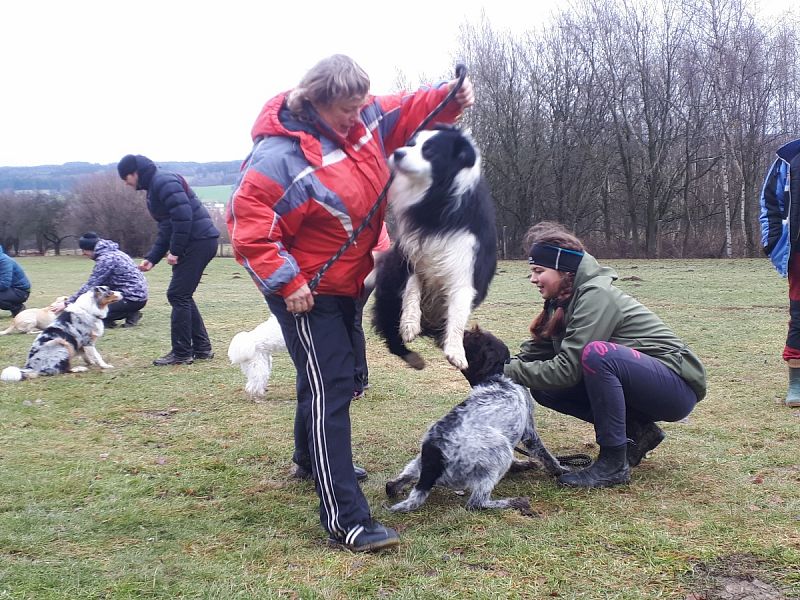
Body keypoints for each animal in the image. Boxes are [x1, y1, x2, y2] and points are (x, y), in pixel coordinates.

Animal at [384, 326, 564, 512]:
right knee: (476, 503)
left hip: (418, 462)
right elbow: (545, 455)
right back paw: (515, 502)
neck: (495, 377)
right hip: (501, 450)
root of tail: (433, 459)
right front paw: (560, 470)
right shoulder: (528, 431)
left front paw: (520, 465)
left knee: (391, 485)